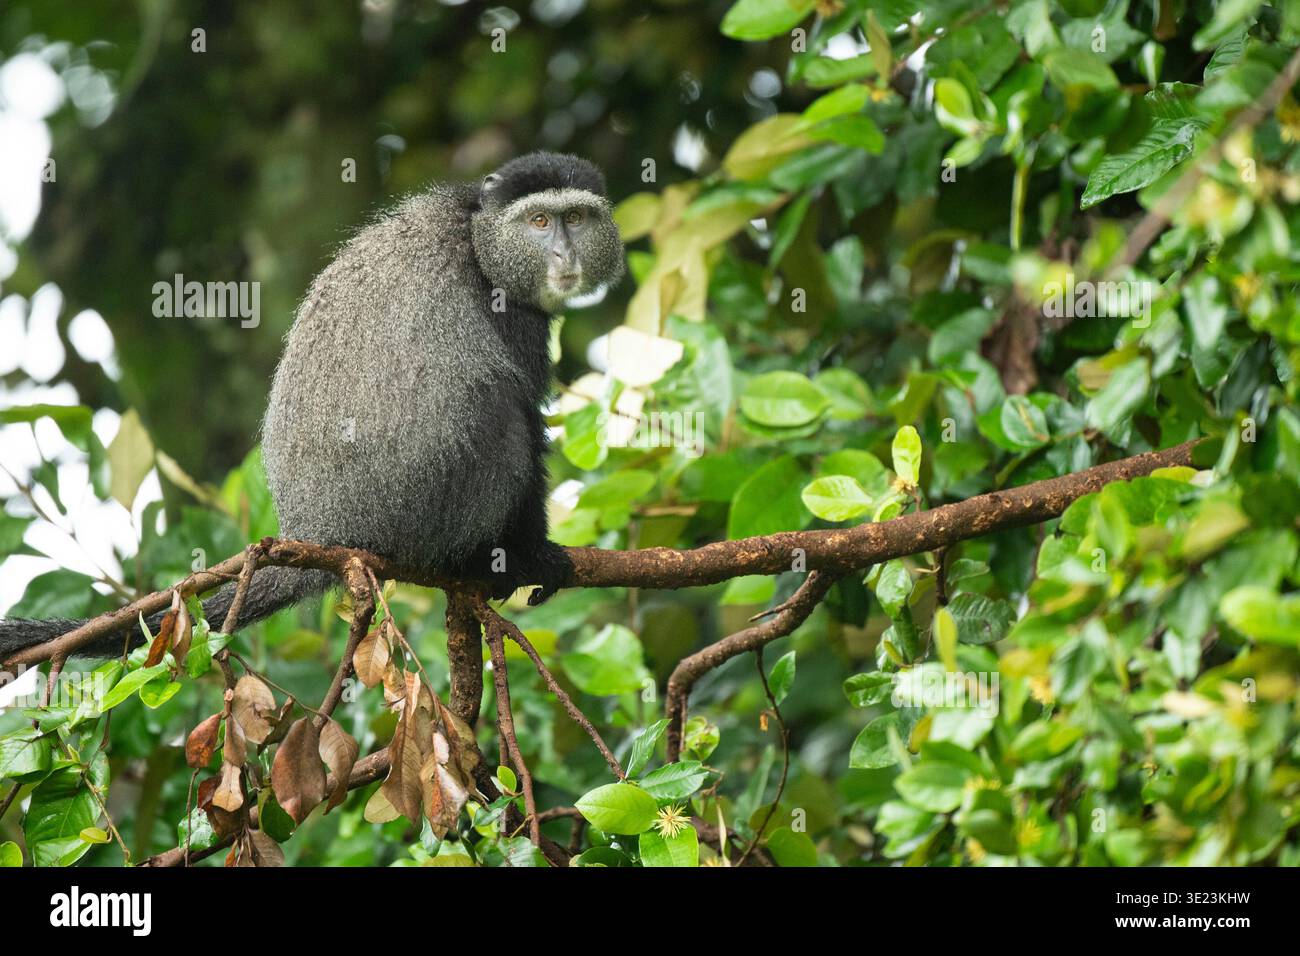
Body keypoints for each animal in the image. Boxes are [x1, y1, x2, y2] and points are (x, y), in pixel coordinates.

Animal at [0, 152, 625, 661]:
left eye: (576, 218)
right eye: (540, 221)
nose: (563, 252)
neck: (477, 233)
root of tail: (323, 531)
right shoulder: (513, 315)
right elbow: (528, 419)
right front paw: (535, 556)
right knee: (503, 417)